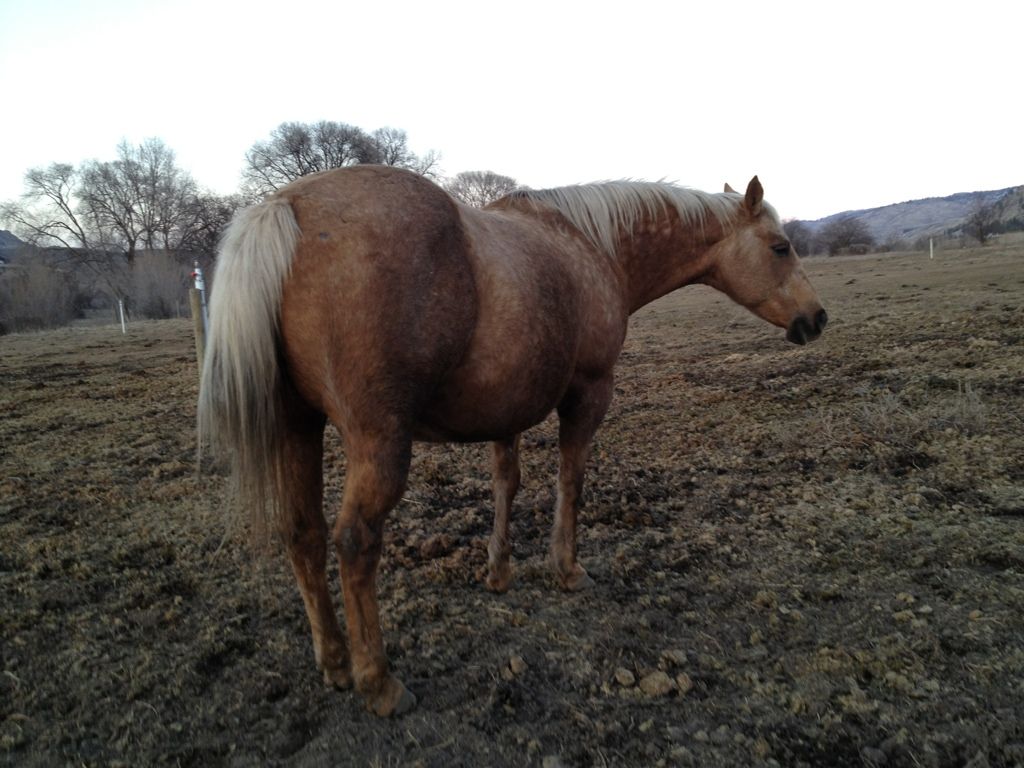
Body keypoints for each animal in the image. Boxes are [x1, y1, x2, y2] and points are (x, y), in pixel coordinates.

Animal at [198, 165, 827, 717]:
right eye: (780, 247)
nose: (817, 318)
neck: (590, 246)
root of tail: (287, 206)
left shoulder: (505, 410)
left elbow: (507, 483)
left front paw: (499, 572)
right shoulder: (589, 393)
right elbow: (571, 481)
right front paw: (565, 568)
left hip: (296, 429)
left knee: (302, 535)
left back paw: (332, 662)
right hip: (377, 441)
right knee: (354, 540)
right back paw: (378, 682)